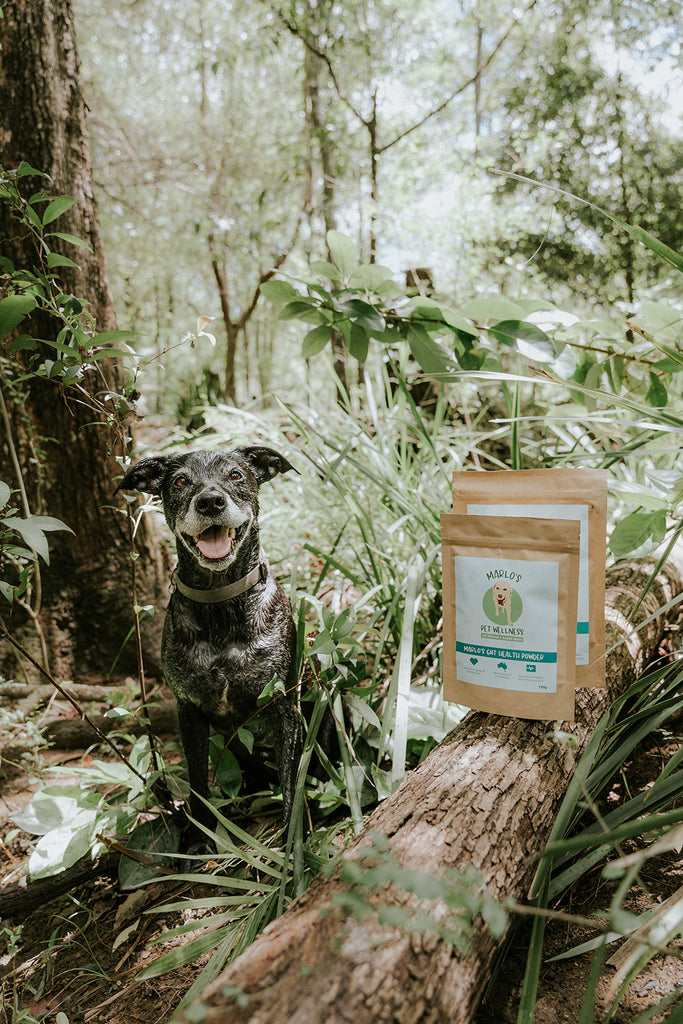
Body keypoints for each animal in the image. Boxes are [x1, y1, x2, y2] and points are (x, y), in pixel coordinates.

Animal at [116, 444, 301, 843]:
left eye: (235, 474)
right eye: (180, 481)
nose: (210, 501)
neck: (221, 604)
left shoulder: (283, 707)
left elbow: (291, 781)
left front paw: (293, 844)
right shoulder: (190, 711)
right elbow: (198, 781)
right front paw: (198, 837)